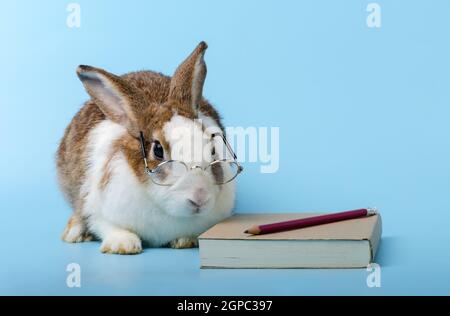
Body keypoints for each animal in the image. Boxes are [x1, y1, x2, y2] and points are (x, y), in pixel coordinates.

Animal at [56, 42, 236, 254]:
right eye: (158, 150)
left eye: (213, 150)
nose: (199, 197)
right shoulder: (96, 207)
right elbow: (105, 225)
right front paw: (123, 245)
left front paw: (185, 241)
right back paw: (74, 233)